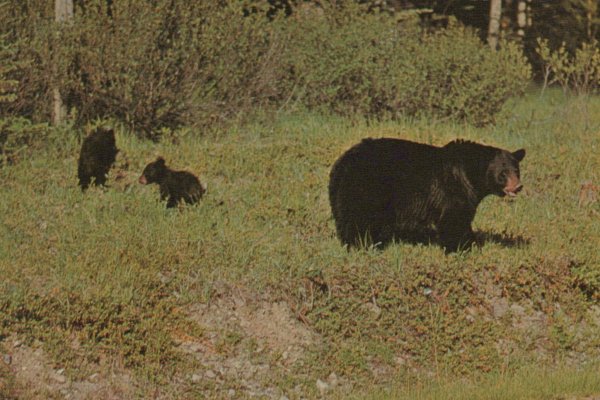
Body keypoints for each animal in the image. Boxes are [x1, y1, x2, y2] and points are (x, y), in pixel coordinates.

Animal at [328, 138, 524, 250]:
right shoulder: (454, 188)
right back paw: (361, 245)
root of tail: (343, 162)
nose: (517, 186)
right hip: (366, 187)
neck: (470, 175)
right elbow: (454, 218)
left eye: (516, 170)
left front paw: (472, 242)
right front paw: (461, 247)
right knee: (359, 219)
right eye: (503, 173)